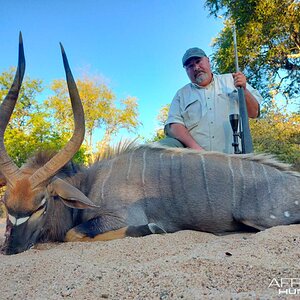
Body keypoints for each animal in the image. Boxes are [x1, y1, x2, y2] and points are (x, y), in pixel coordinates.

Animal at [0, 35, 300, 255]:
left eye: (41, 204)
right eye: (6, 202)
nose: (10, 248)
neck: (89, 183)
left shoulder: (121, 217)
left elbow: (74, 233)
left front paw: (153, 228)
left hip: (260, 218)